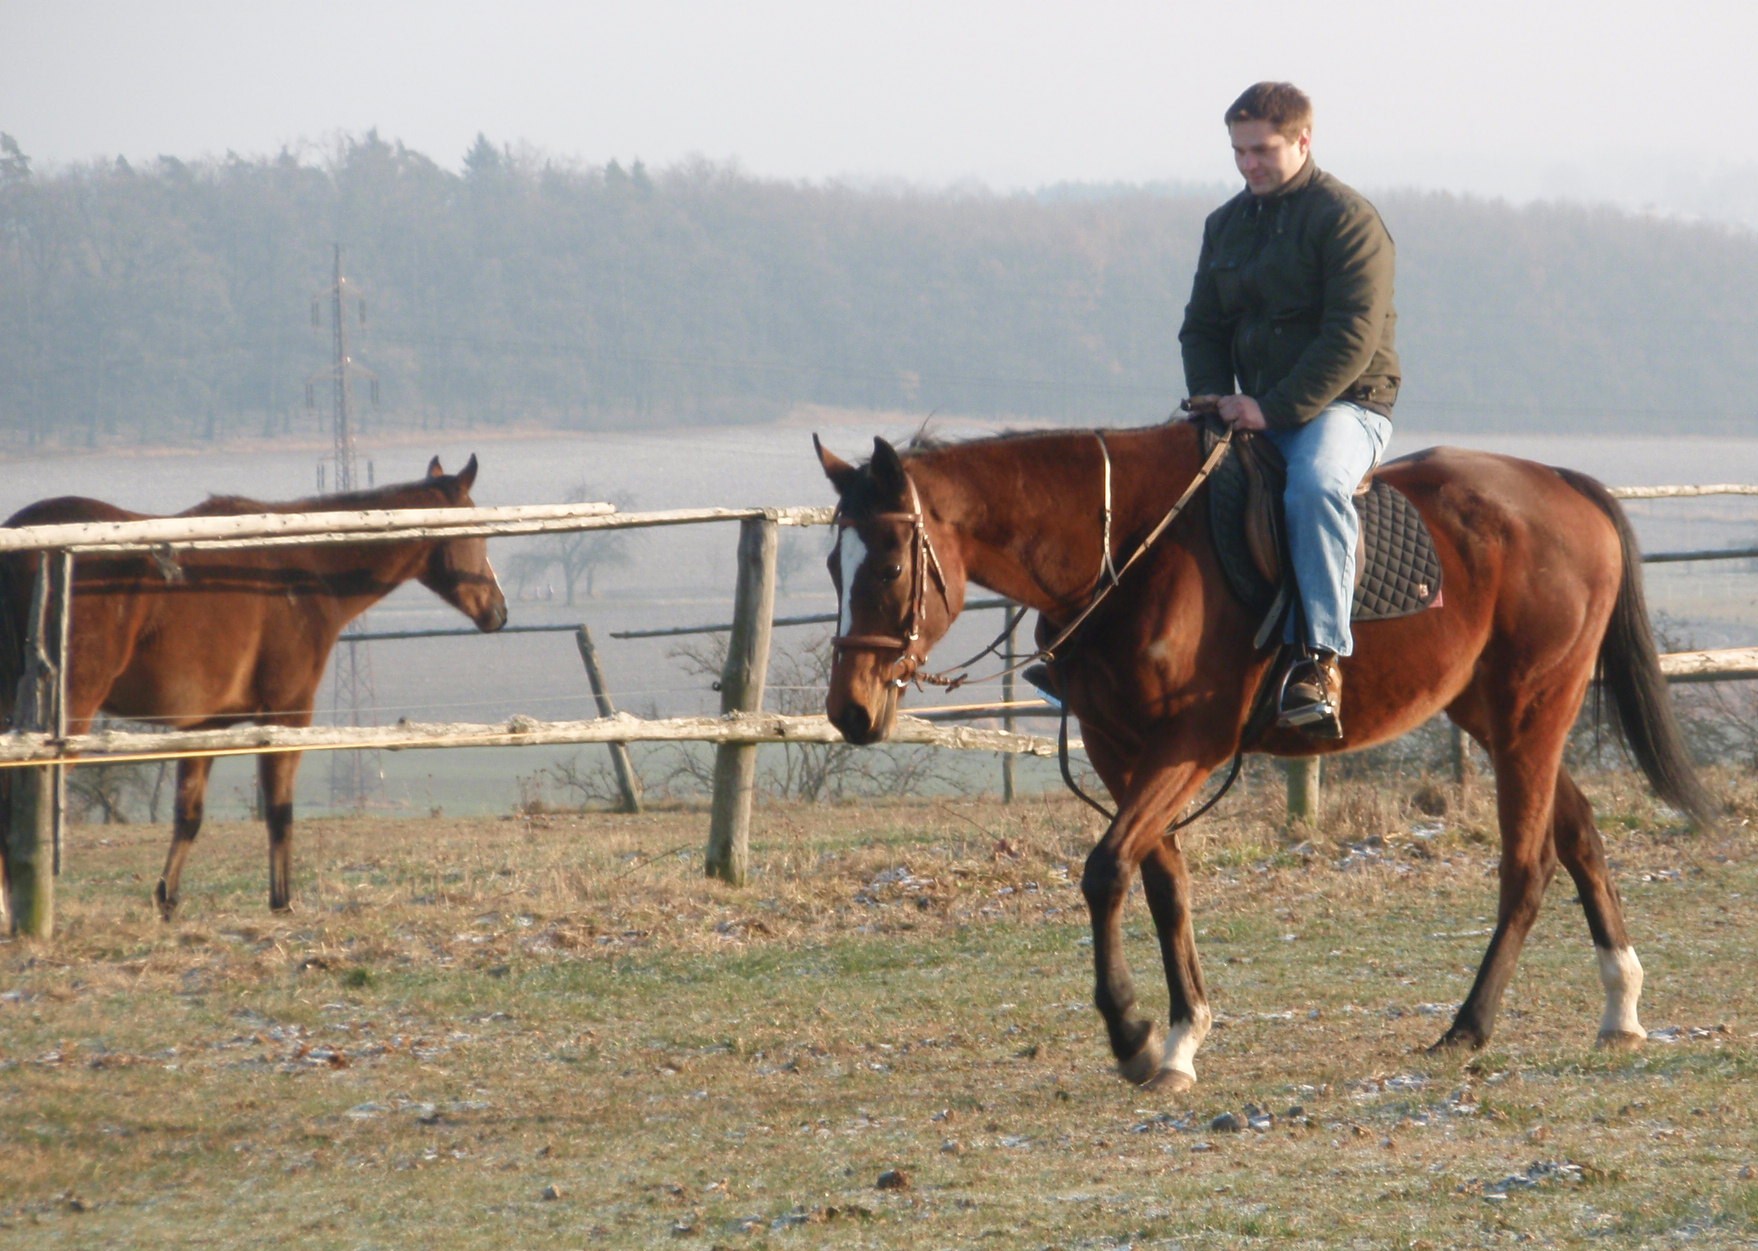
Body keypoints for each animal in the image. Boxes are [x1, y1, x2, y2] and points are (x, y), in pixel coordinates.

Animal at [1, 456, 509, 920]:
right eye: (476, 531)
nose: (498, 611)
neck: (301, 572)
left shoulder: (203, 726)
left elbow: (188, 816)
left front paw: (167, 900)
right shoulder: (286, 714)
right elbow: (279, 812)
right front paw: (281, 901)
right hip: (71, 709)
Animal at [815, 425, 1708, 1089]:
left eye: (888, 564)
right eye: (830, 564)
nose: (849, 710)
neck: (1127, 551)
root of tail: (1561, 482)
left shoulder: (1189, 744)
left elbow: (1106, 870)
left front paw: (1133, 1034)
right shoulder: (1119, 749)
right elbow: (1162, 886)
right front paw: (1180, 1040)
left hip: (1532, 708)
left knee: (1528, 864)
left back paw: (1469, 1025)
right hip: (1497, 713)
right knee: (1579, 832)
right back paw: (1621, 1008)